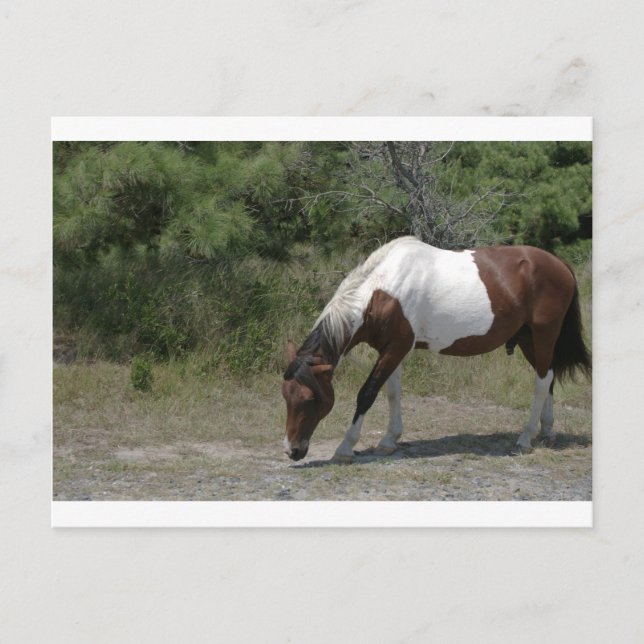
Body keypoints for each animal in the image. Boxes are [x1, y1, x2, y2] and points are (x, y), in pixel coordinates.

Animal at [282, 236, 591, 463]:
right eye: (286, 396)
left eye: (311, 398)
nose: (292, 450)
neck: (382, 292)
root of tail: (559, 263)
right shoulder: (393, 349)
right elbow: (392, 393)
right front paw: (389, 439)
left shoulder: (396, 348)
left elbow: (367, 394)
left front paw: (346, 447)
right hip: (529, 338)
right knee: (548, 377)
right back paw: (546, 431)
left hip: (544, 334)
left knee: (541, 382)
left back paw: (525, 439)